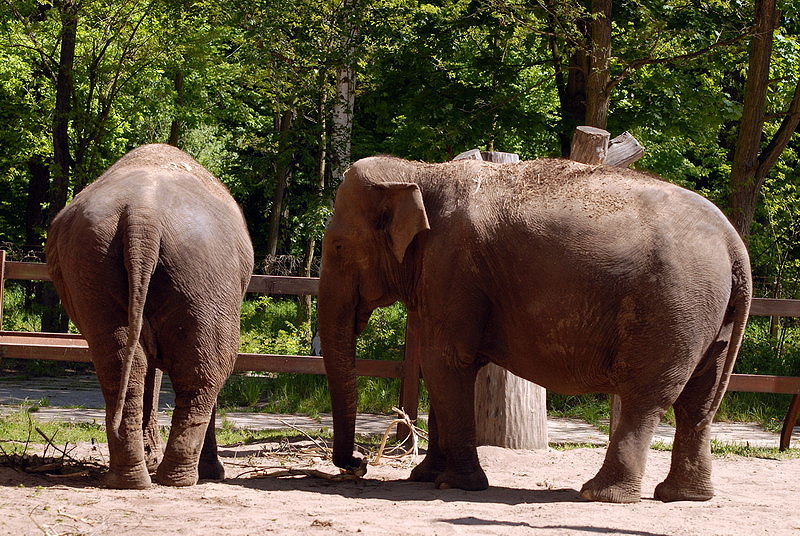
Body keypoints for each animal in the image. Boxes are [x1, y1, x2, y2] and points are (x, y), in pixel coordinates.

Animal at [46, 144, 254, 489]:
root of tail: (143, 215)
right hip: (206, 272)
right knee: (206, 370)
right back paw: (180, 479)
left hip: (93, 265)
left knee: (120, 364)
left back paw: (129, 479)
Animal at [318, 156, 751, 503]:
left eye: (337, 247)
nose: (358, 464)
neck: (421, 172)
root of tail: (734, 243)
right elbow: (442, 368)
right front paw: (425, 477)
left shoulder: (452, 267)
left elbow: (446, 363)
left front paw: (454, 485)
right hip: (709, 315)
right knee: (699, 401)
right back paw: (685, 496)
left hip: (673, 306)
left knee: (646, 397)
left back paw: (600, 494)